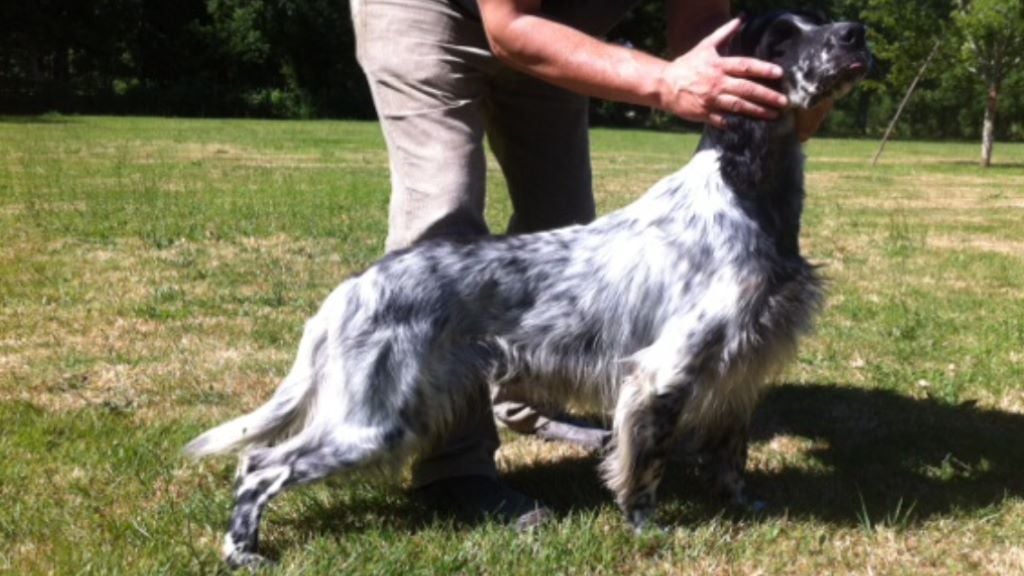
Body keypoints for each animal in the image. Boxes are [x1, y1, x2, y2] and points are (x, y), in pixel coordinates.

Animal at [188, 11, 868, 565]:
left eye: (820, 20)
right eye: (782, 38)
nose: (856, 33)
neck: (742, 189)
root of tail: (351, 289)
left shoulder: (739, 367)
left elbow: (730, 454)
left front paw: (744, 507)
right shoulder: (664, 372)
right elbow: (643, 467)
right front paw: (647, 530)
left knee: (255, 459)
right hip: (373, 421)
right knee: (260, 465)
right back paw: (243, 552)